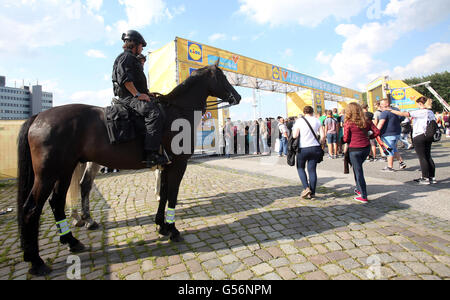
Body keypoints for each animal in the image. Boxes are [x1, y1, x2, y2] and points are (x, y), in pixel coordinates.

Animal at [17, 63, 241, 276]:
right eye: (222, 76)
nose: (237, 96)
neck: (176, 112)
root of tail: (39, 116)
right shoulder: (178, 165)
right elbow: (172, 196)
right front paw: (173, 229)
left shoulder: (166, 166)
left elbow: (164, 194)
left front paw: (162, 226)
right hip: (48, 174)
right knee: (32, 209)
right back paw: (36, 261)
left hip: (64, 171)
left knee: (57, 202)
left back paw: (72, 241)